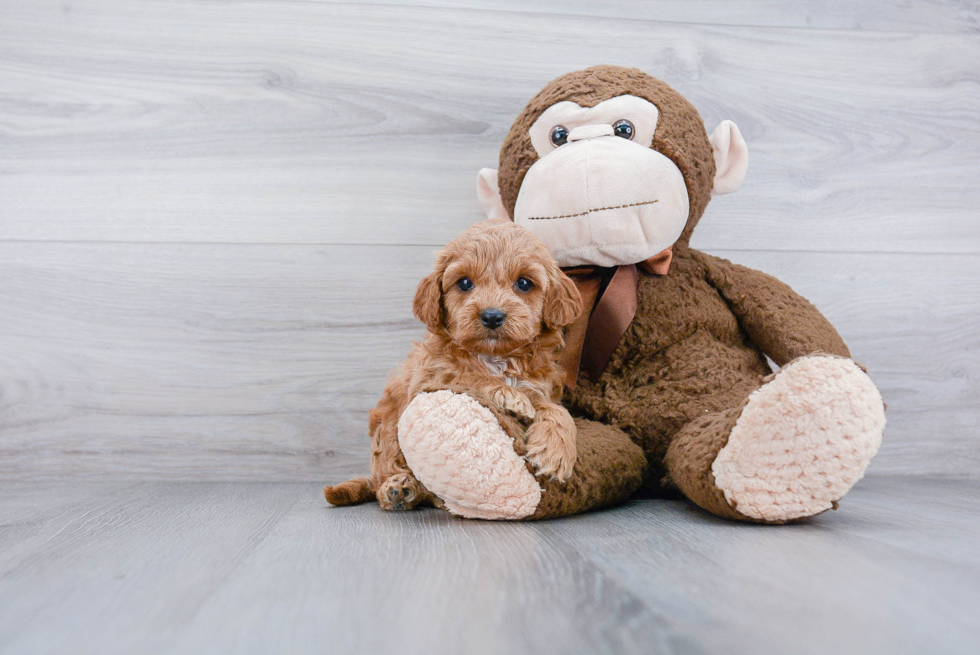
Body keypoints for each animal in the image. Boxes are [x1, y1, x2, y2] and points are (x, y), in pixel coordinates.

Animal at [324, 218, 580, 510]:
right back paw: (398, 489)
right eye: (464, 283)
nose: (492, 316)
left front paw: (555, 452)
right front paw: (507, 395)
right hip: (387, 433)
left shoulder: (539, 388)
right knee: (386, 473)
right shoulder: (427, 382)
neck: (494, 357)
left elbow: (557, 410)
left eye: (524, 283)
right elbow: (466, 377)